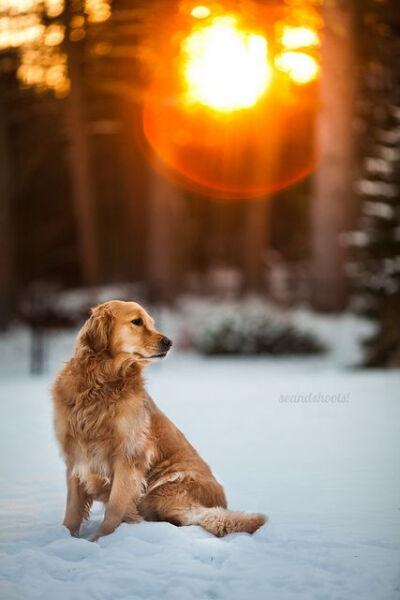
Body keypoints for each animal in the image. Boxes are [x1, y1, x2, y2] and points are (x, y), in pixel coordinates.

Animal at [52, 300, 266, 540]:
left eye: (151, 323)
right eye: (137, 321)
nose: (169, 342)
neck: (100, 385)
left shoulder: (128, 457)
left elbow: (115, 509)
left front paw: (100, 540)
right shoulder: (76, 457)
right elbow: (72, 511)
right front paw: (66, 538)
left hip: (164, 492)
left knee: (208, 517)